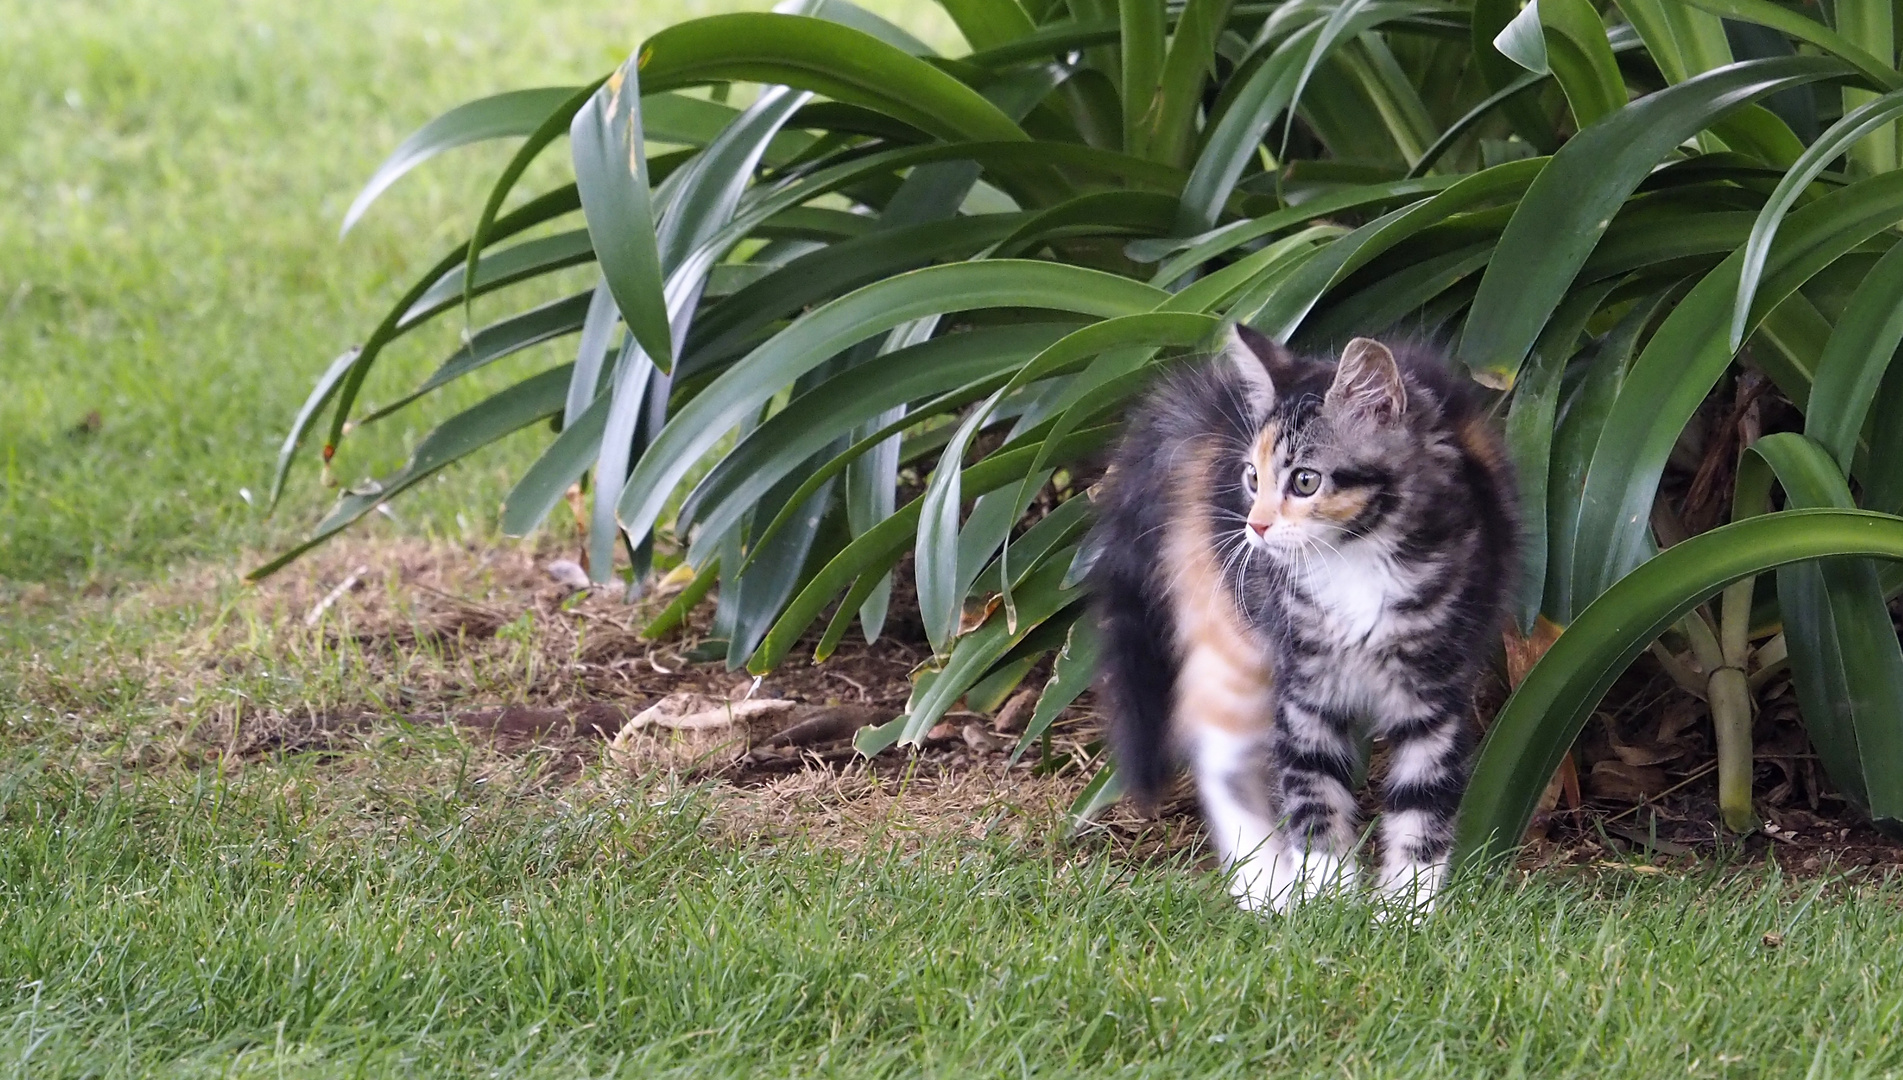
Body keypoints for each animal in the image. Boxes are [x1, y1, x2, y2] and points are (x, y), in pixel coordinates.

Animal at [1088, 323, 1514, 912]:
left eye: (1305, 482)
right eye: (1252, 477)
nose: (1256, 526)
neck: (1357, 558)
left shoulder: (1434, 690)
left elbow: (1422, 798)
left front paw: (1406, 910)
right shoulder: (1304, 684)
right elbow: (1315, 790)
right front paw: (1326, 899)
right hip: (1234, 624)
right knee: (1216, 746)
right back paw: (1264, 882)